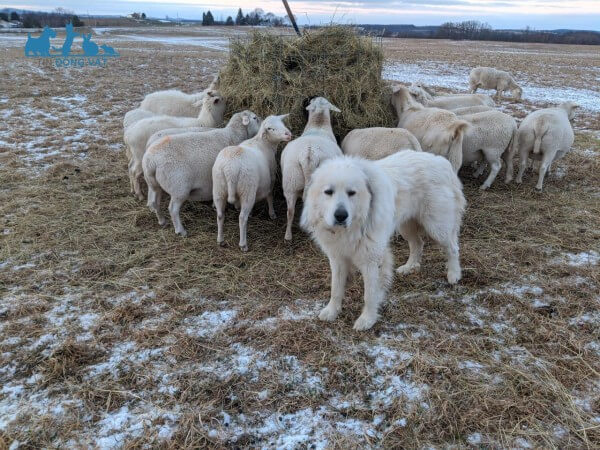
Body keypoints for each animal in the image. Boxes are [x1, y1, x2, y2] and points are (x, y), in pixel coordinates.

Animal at [213, 114, 292, 251]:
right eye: (270, 128)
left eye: (282, 123)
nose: (288, 134)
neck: (263, 143)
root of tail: (230, 168)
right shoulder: (271, 177)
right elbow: (270, 195)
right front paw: (272, 214)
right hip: (247, 189)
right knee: (242, 218)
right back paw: (243, 244)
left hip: (219, 189)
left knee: (220, 215)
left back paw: (220, 240)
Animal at [302, 151, 466, 330]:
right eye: (328, 192)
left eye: (351, 192)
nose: (340, 215)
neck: (353, 227)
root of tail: (441, 161)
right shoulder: (337, 258)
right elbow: (336, 289)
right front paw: (332, 311)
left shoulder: (372, 260)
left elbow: (369, 294)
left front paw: (367, 319)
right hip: (406, 226)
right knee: (418, 244)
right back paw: (409, 267)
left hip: (437, 227)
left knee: (453, 248)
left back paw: (454, 274)